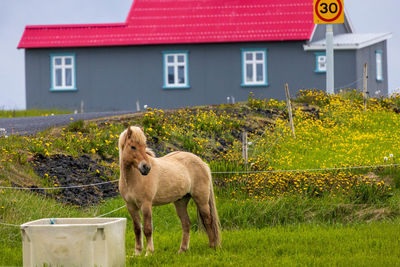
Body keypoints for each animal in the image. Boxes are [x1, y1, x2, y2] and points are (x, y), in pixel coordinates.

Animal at [117, 126, 222, 256]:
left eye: (144, 146)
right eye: (133, 147)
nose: (146, 168)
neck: (133, 178)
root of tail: (203, 163)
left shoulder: (146, 205)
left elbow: (147, 229)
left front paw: (148, 252)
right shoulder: (131, 206)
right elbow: (137, 229)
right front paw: (137, 254)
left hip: (201, 200)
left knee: (208, 220)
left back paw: (212, 246)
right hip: (181, 202)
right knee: (186, 223)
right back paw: (182, 250)